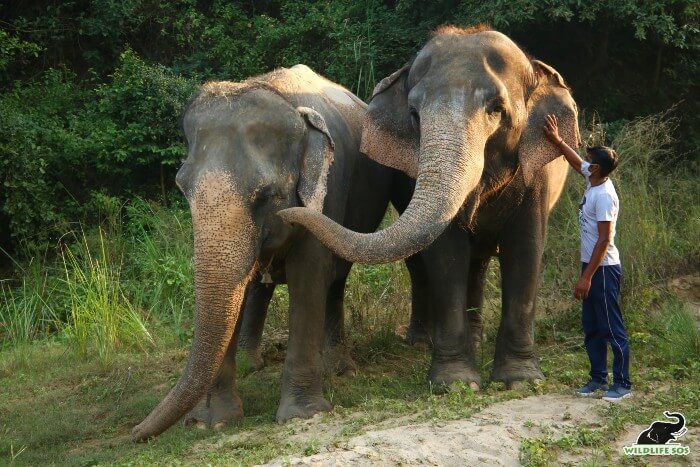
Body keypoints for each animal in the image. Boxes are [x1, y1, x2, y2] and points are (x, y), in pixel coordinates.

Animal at [131, 64, 430, 440]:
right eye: (182, 189)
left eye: (266, 195)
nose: (134, 432)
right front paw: (211, 421)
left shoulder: (328, 190)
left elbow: (308, 278)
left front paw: (303, 415)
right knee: (259, 286)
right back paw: (252, 364)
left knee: (334, 283)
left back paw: (338, 369)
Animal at [278, 26, 580, 392]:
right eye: (414, 115)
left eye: (496, 109)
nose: (284, 214)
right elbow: (446, 255)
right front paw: (456, 384)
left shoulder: (537, 174)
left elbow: (526, 248)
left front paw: (521, 381)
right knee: (427, 263)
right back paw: (423, 342)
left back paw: (474, 340)